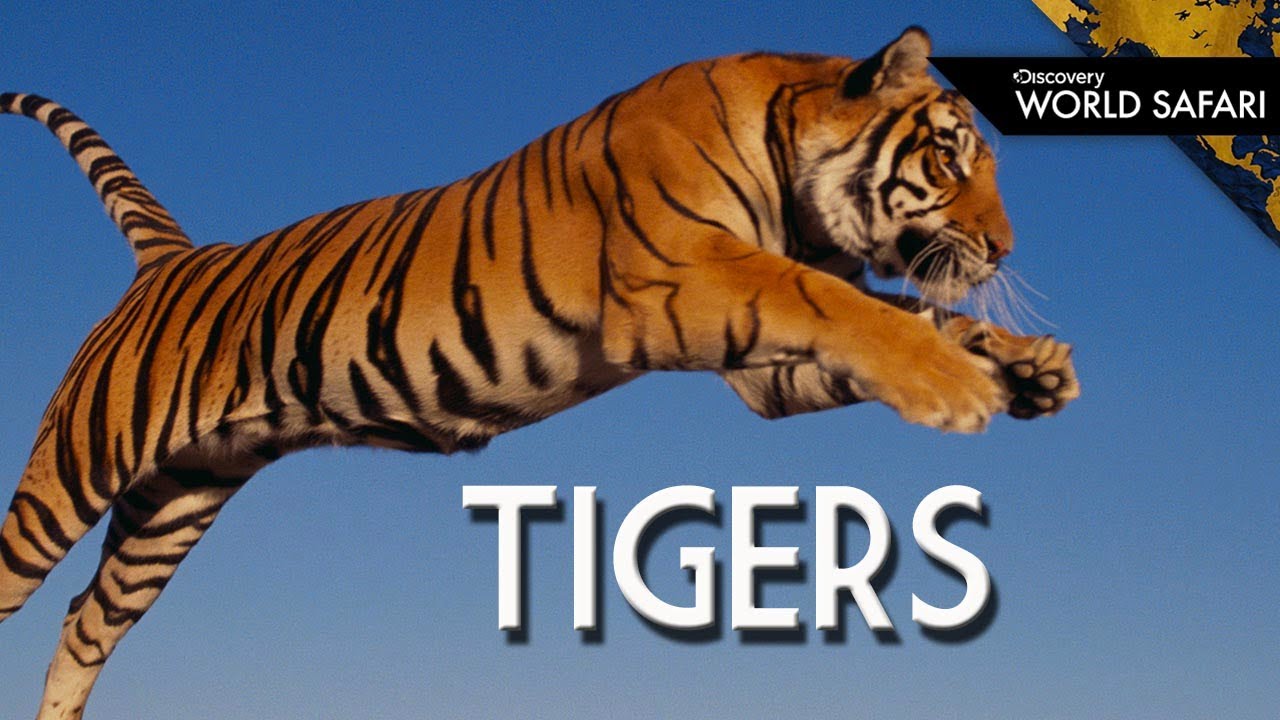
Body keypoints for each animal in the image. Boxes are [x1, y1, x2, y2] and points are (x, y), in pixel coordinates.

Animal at [0, 27, 1077, 719]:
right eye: (950, 159)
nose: (1004, 248)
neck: (795, 188)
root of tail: (170, 258)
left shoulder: (760, 371)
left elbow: (905, 312)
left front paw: (1030, 368)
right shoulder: (687, 282)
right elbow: (846, 305)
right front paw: (958, 387)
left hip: (174, 502)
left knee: (85, 626)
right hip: (78, 468)